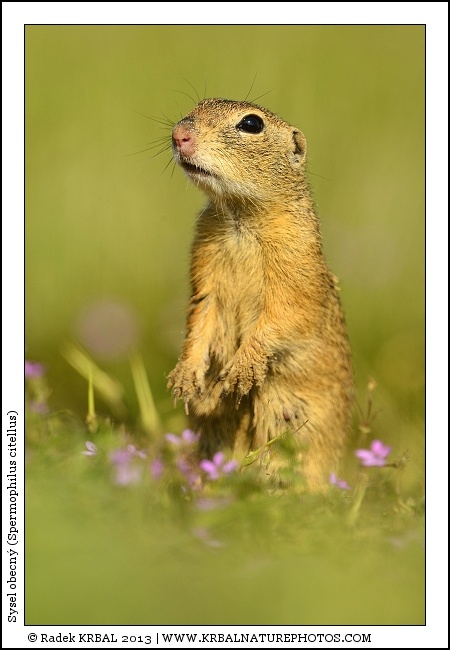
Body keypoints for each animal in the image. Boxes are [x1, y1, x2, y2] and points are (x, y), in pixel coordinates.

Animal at [167, 98, 354, 491]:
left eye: (251, 124)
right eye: (198, 105)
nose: (179, 134)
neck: (241, 216)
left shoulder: (296, 270)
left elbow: (284, 319)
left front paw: (240, 371)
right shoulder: (205, 274)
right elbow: (200, 317)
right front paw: (185, 377)